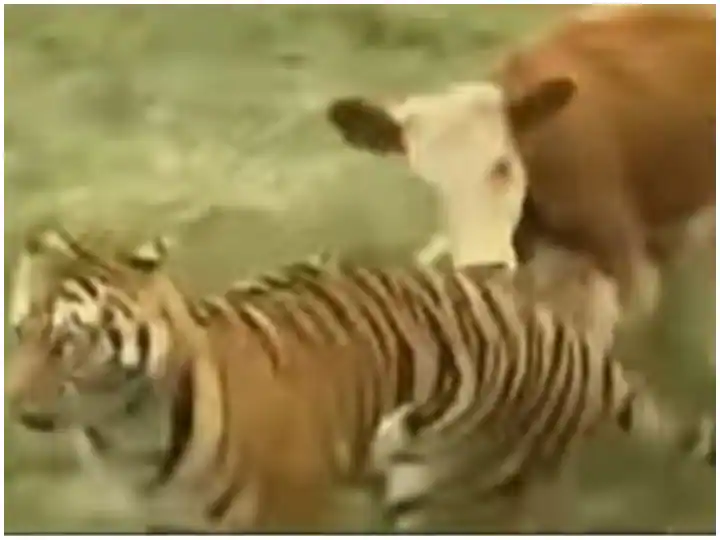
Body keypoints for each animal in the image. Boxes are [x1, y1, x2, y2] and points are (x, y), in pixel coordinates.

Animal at [5, 226, 715, 532]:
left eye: (67, 342)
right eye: (20, 332)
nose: (18, 407)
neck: (127, 430)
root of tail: (566, 338)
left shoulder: (290, 514)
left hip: (451, 492)